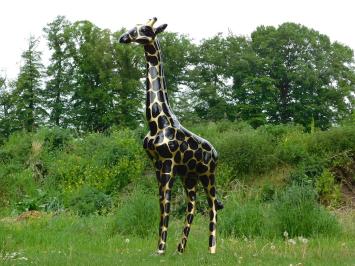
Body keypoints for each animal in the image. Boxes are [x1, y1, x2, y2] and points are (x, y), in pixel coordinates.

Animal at [121, 17, 224, 255]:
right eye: (133, 26)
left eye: (145, 29)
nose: (123, 38)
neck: (156, 123)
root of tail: (215, 152)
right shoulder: (156, 164)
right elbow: (161, 202)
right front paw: (161, 248)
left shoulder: (168, 163)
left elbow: (166, 202)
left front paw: (160, 249)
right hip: (190, 175)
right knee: (192, 205)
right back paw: (180, 249)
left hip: (208, 174)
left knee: (213, 204)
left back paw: (212, 249)